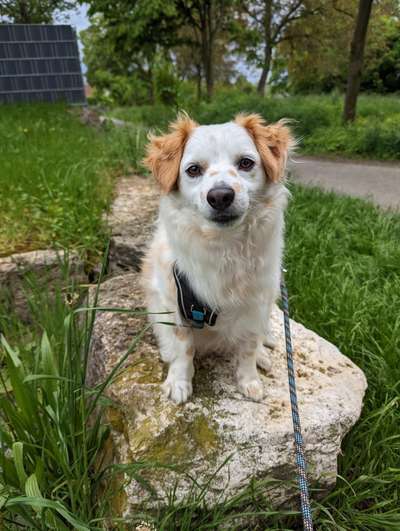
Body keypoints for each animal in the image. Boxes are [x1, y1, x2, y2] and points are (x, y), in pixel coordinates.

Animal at [141, 112, 294, 404]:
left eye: (246, 163)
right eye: (193, 170)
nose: (220, 196)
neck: (223, 246)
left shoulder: (255, 302)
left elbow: (248, 346)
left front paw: (249, 381)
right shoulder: (174, 301)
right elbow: (183, 346)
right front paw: (179, 381)